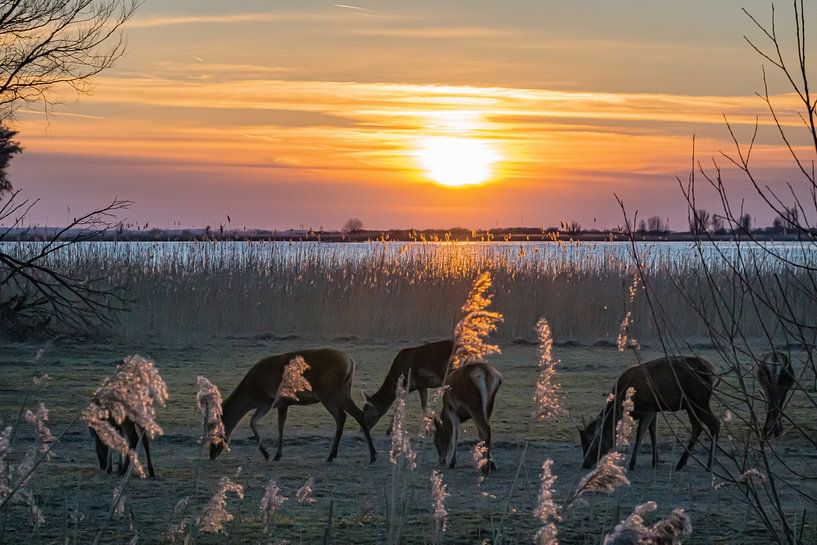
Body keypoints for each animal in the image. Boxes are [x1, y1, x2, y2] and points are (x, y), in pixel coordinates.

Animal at [208, 348, 377, 463]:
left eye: (215, 429)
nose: (211, 454)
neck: (251, 394)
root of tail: (350, 362)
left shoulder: (269, 401)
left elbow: (253, 422)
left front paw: (268, 454)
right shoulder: (283, 403)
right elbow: (280, 425)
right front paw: (276, 454)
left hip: (329, 392)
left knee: (342, 416)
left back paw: (336, 455)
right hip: (342, 390)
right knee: (355, 414)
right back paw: (368, 455)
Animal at [578, 356, 720, 471]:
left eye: (593, 441)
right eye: (583, 444)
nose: (585, 464)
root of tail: (712, 373)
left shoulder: (648, 407)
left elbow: (641, 432)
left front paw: (632, 463)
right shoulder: (654, 409)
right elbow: (653, 431)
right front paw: (655, 460)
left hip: (699, 400)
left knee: (715, 424)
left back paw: (709, 464)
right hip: (691, 405)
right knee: (698, 427)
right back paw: (682, 463)